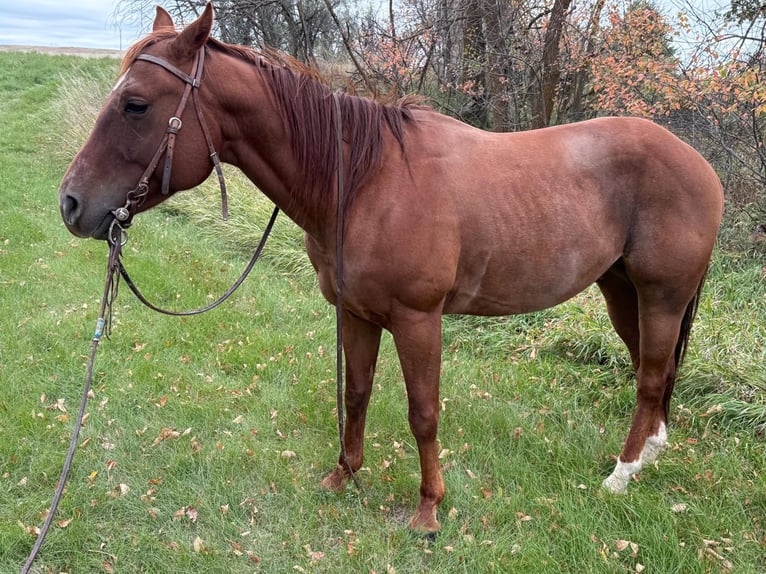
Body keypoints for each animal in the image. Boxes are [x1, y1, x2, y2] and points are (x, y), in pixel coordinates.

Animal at [58, 3, 724, 533]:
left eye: (136, 105)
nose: (71, 204)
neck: (363, 181)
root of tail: (702, 165)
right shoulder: (357, 313)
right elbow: (356, 395)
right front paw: (343, 476)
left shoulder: (417, 320)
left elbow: (422, 413)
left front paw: (429, 509)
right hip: (621, 293)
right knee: (654, 373)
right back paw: (649, 455)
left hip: (661, 296)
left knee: (649, 378)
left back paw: (622, 473)